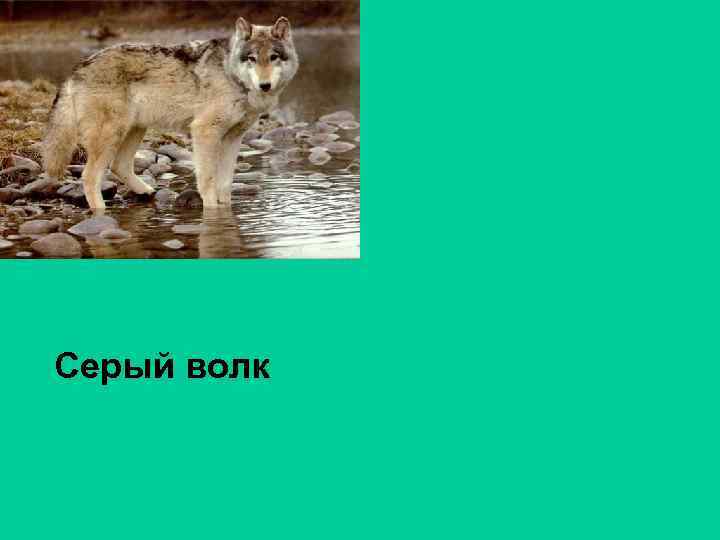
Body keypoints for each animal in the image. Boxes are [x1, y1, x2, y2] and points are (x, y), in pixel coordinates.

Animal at [43, 16, 299, 209]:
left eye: (273, 57)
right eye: (252, 59)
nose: (265, 85)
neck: (232, 75)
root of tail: (78, 67)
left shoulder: (233, 138)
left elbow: (225, 184)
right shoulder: (204, 132)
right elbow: (207, 181)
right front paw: (212, 212)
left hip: (135, 129)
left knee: (119, 166)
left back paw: (145, 192)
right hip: (111, 135)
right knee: (90, 177)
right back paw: (101, 215)